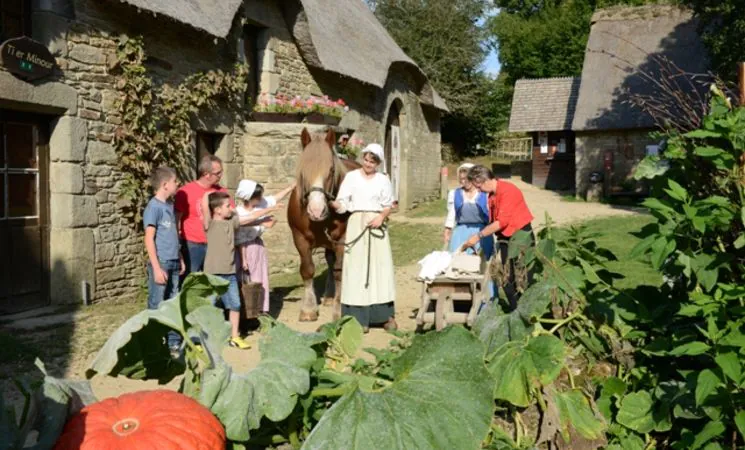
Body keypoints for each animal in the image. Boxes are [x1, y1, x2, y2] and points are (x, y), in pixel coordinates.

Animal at [286, 128, 358, 322]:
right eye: (303, 170)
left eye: (331, 170)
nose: (316, 210)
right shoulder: (300, 239)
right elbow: (307, 270)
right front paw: (308, 309)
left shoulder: (342, 239)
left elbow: (340, 272)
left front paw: (339, 310)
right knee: (330, 261)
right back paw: (329, 296)